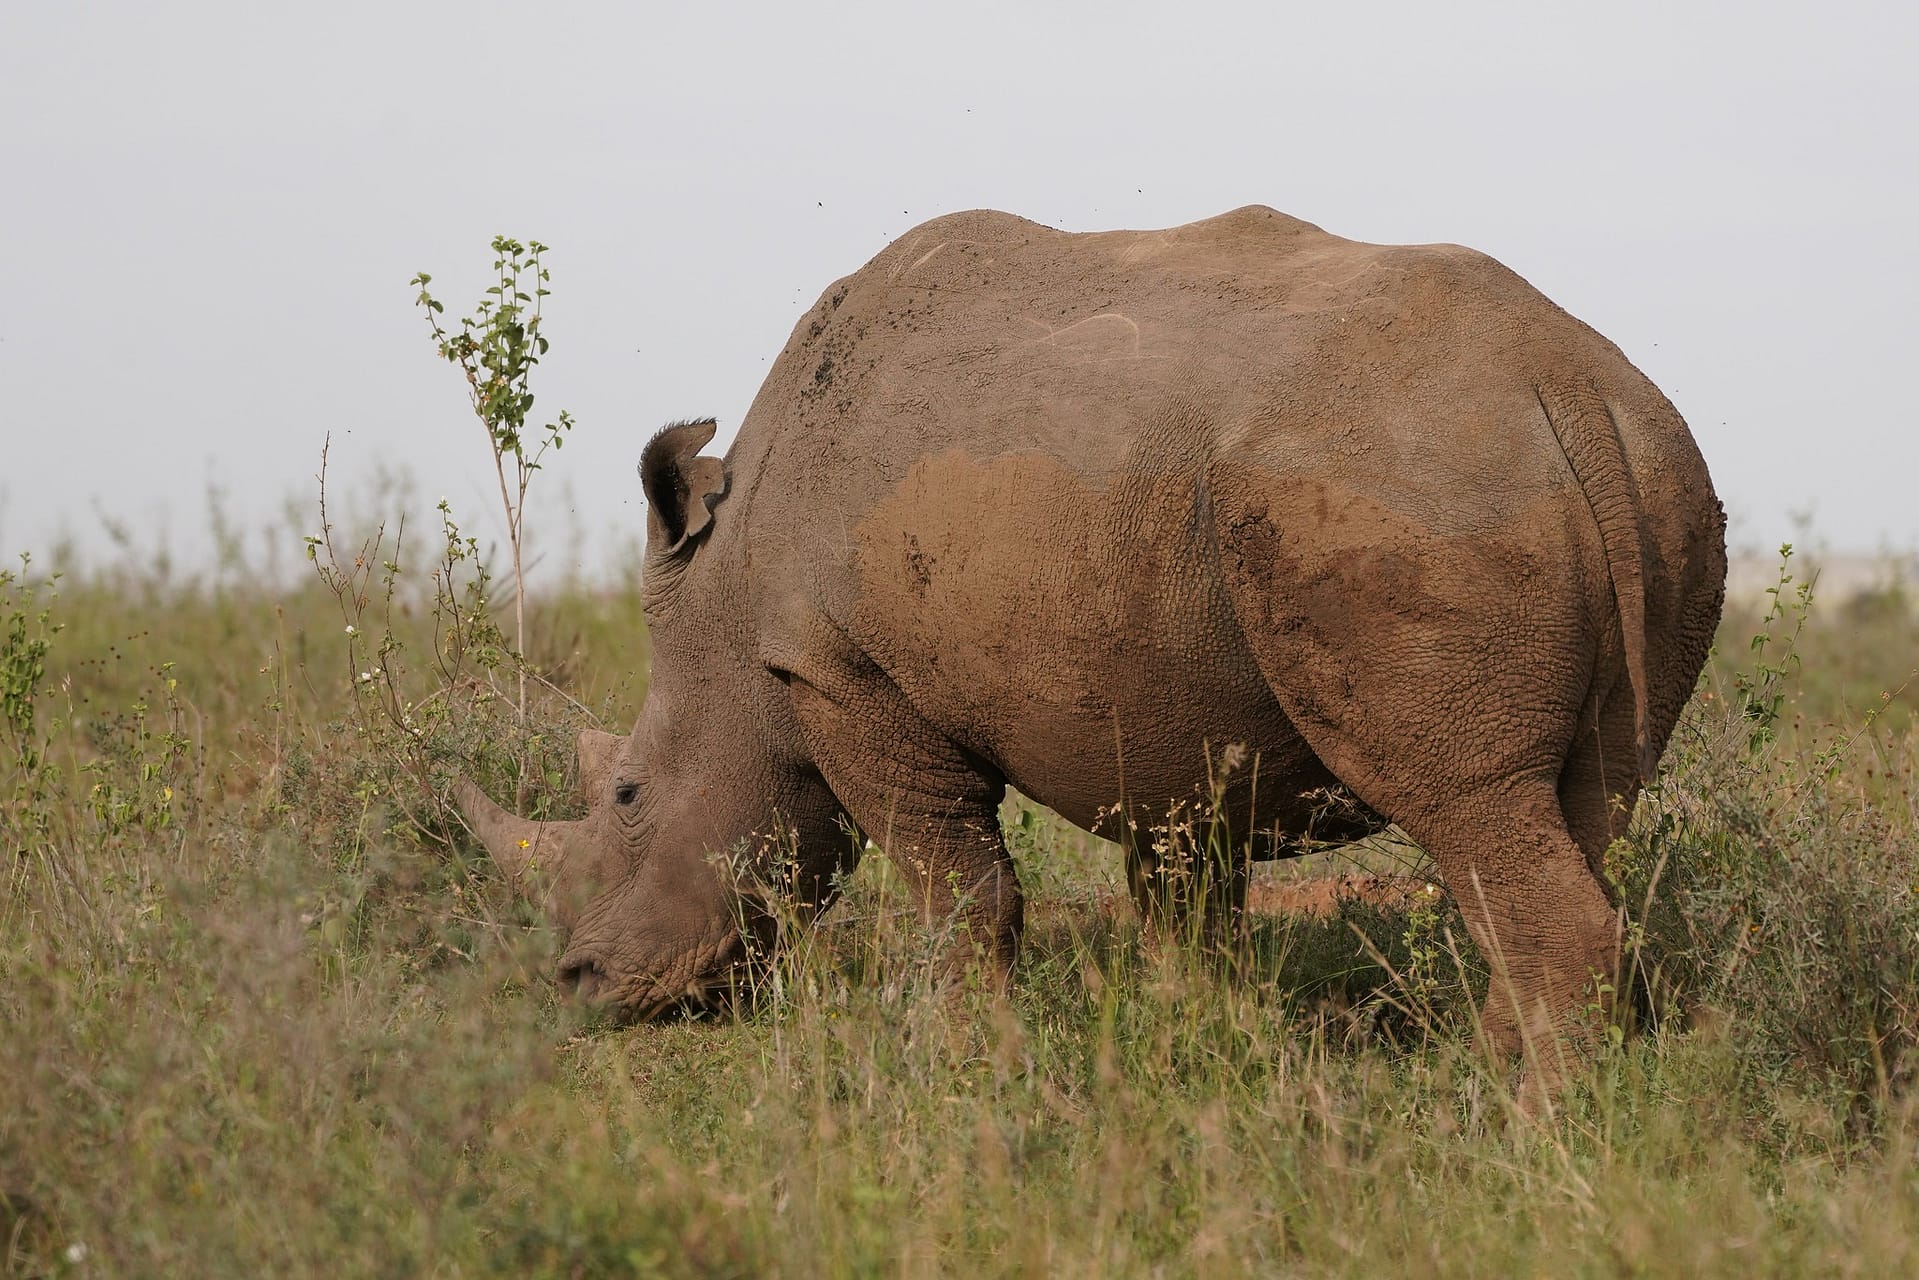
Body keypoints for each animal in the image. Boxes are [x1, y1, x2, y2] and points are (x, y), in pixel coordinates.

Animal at [457, 205, 1726, 1053]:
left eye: (628, 796)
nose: (578, 983)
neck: (729, 606)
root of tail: (1564, 386)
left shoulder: (842, 674)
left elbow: (958, 893)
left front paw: (963, 1065)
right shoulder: (1166, 707)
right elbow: (1184, 909)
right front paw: (1195, 1056)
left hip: (1409, 483)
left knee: (1472, 806)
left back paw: (1517, 1140)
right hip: (1638, 475)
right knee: (1573, 810)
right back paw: (1506, 1092)